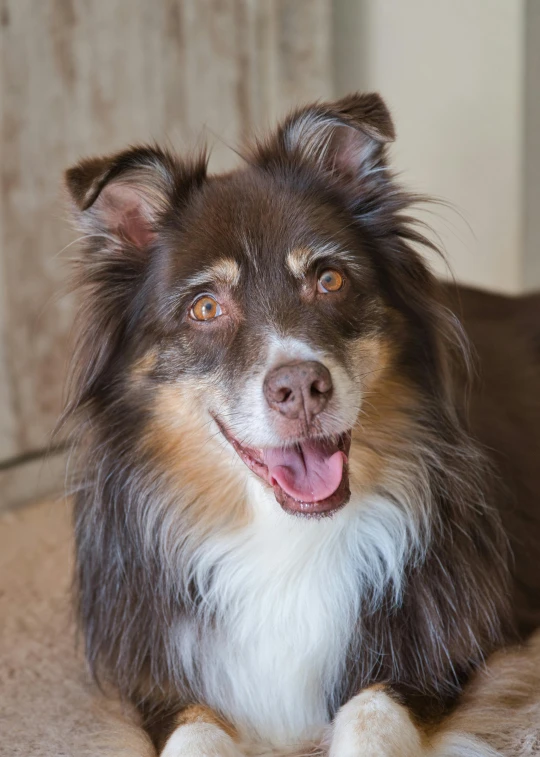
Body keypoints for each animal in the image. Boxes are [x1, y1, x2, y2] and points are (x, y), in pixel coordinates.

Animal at [64, 91, 540, 752]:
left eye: (330, 279)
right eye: (204, 307)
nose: (301, 389)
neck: (286, 540)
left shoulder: (446, 652)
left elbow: (370, 713)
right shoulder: (161, 676)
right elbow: (194, 731)